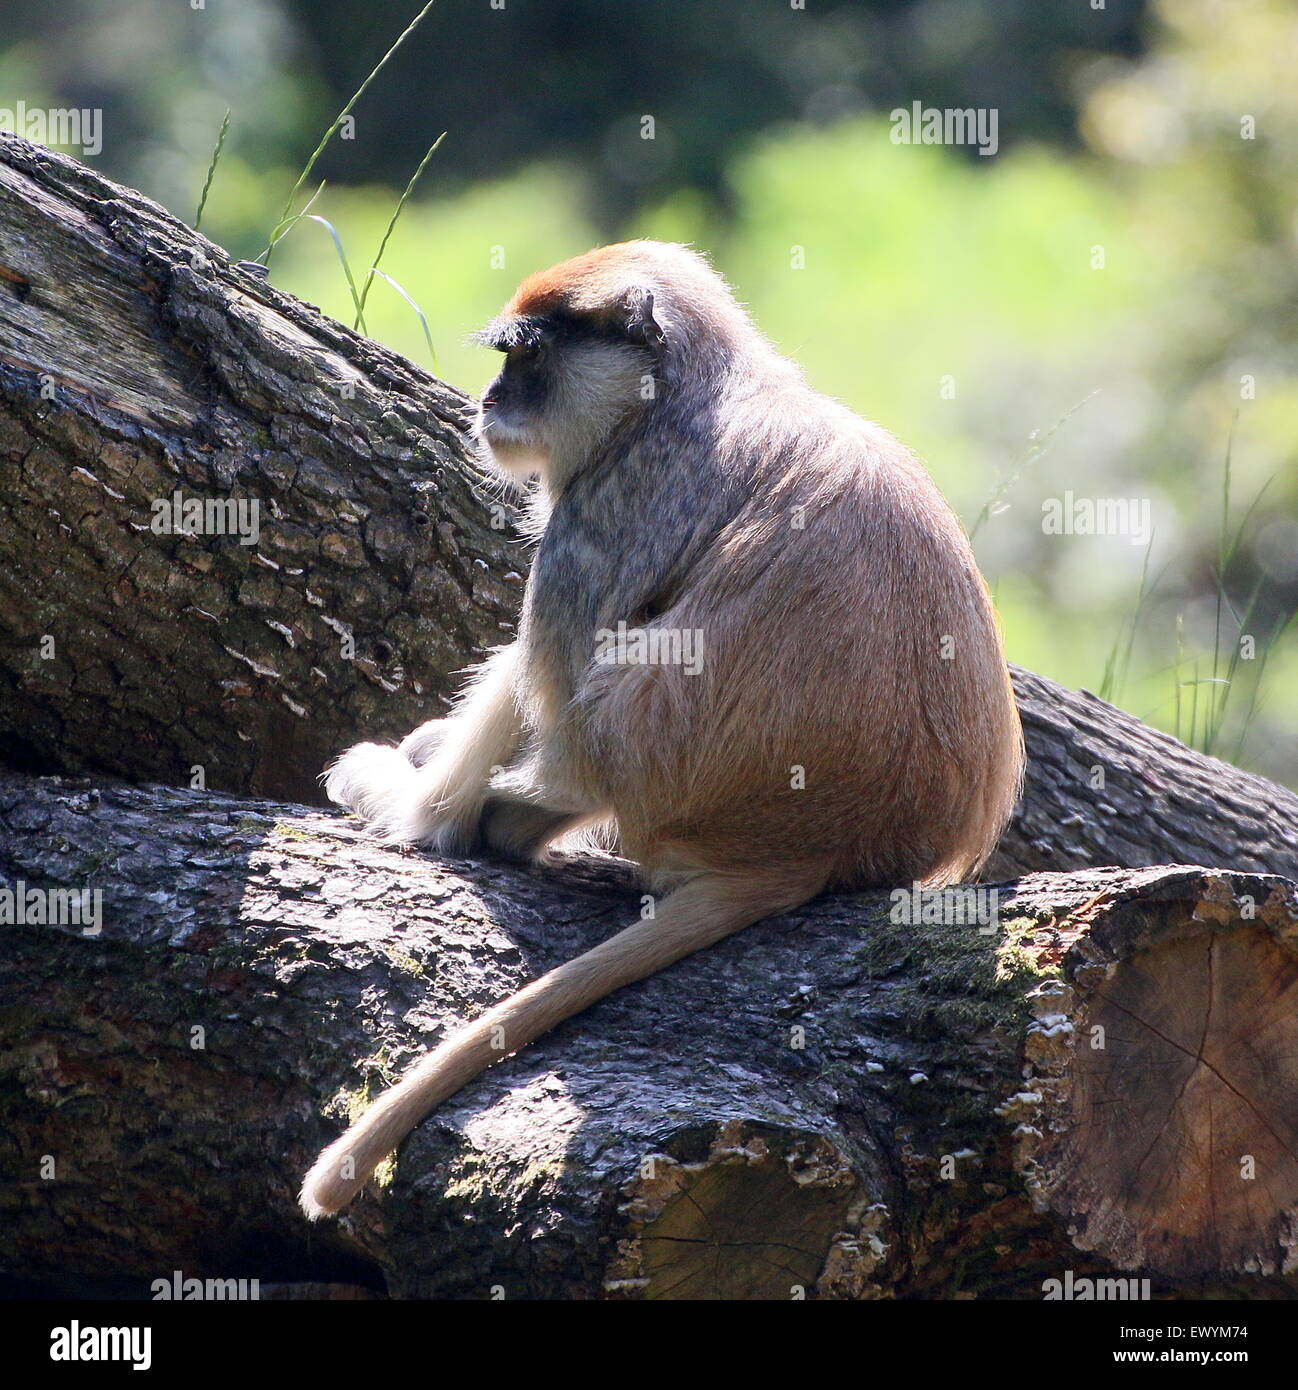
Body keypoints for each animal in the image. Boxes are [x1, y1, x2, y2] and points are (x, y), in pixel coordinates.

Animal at [299, 239, 1023, 1221]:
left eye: (526, 356)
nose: (489, 402)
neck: (681, 394)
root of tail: (819, 847)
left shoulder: (598, 513)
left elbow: (552, 688)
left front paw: (417, 796)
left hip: (651, 777)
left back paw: (472, 814)